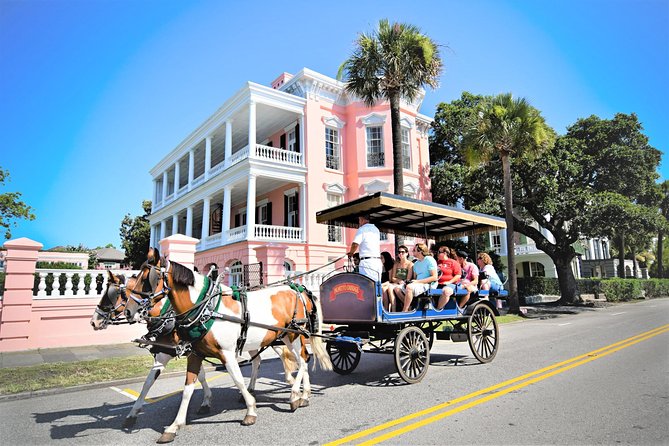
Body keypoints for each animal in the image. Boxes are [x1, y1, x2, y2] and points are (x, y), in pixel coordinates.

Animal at [123, 251, 332, 442]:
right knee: (290, 359)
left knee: (302, 361)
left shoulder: (227, 353)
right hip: (279, 337)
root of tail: (298, 289)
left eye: (147, 279)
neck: (207, 308)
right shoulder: (194, 354)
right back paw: (303, 394)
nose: (128, 311)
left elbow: (237, 379)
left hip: (293, 334)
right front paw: (174, 426)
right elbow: (187, 388)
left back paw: (295, 395)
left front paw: (250, 410)